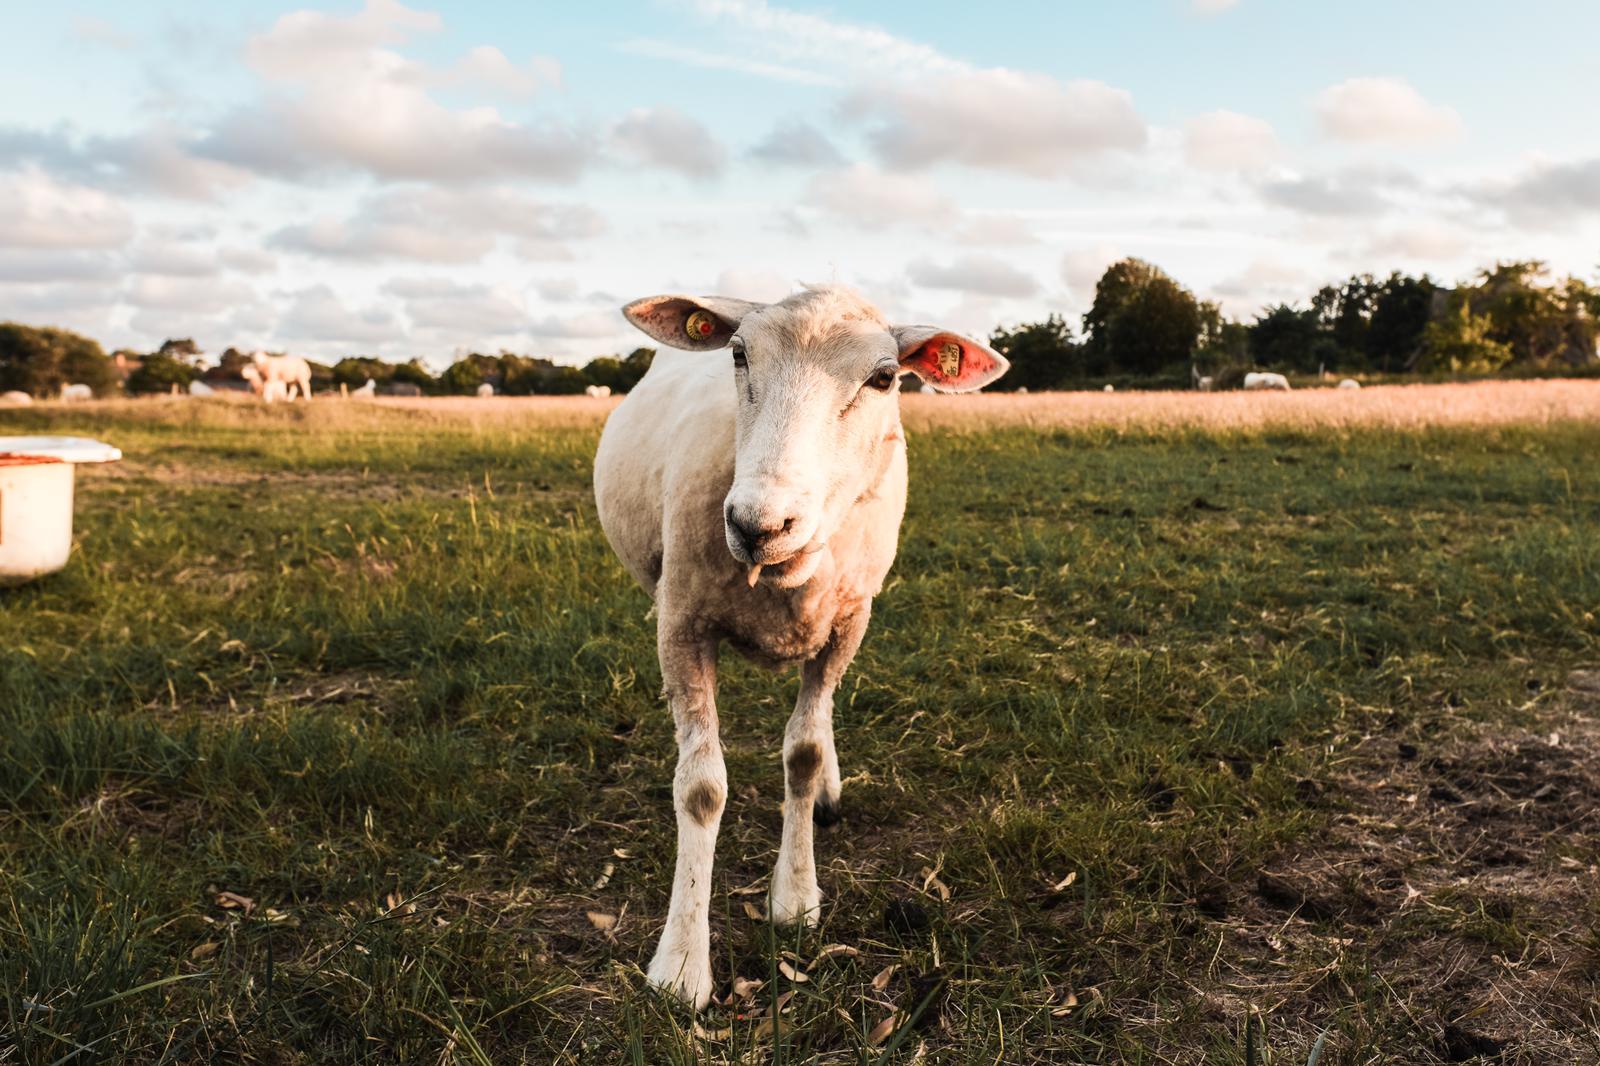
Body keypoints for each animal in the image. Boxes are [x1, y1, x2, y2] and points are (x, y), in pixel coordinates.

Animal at [595, 284, 1004, 1005]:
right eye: (737, 355)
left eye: (884, 377)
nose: (760, 525)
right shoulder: (680, 624)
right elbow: (701, 789)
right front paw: (682, 964)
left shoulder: (848, 623)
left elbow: (805, 754)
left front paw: (795, 897)